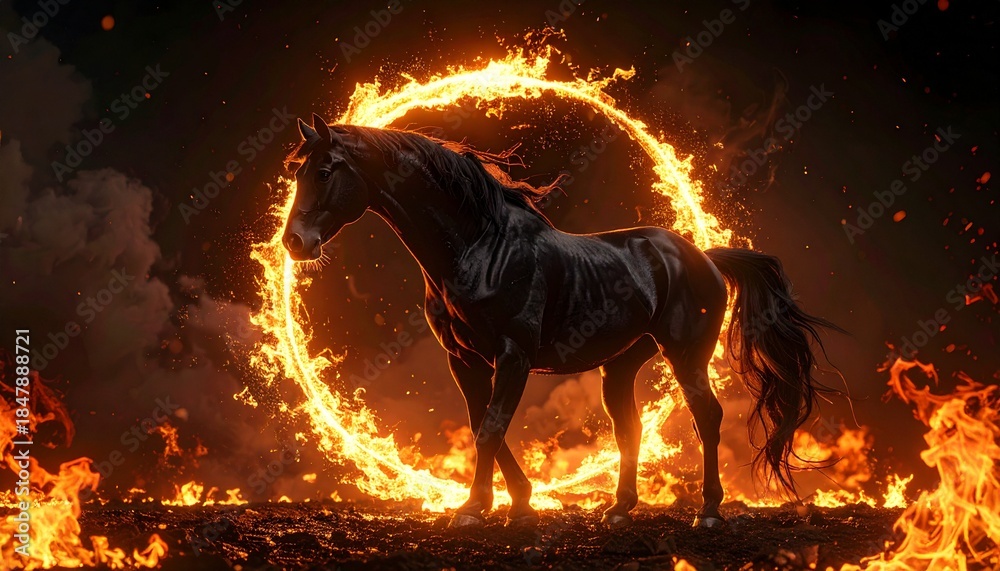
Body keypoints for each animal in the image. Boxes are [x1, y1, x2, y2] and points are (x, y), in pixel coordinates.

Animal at [282, 114, 841, 529]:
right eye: (297, 172)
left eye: (326, 170)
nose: (295, 243)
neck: (480, 249)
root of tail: (703, 257)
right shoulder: (464, 360)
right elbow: (483, 426)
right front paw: (516, 502)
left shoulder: (513, 356)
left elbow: (490, 428)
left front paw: (475, 510)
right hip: (622, 364)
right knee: (629, 427)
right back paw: (619, 509)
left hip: (685, 356)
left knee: (708, 418)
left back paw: (707, 512)